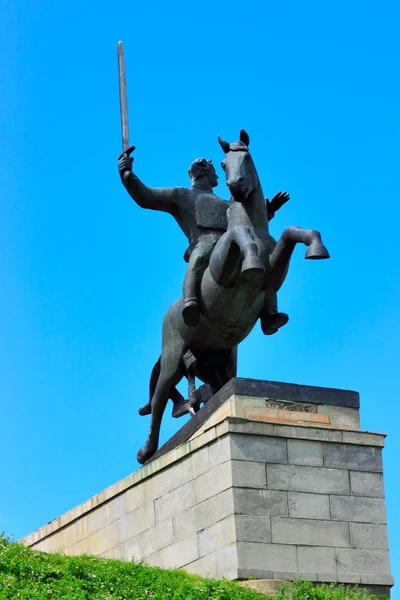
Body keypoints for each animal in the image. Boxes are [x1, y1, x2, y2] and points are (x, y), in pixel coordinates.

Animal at [136, 130, 330, 464]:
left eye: (247, 158)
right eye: (224, 163)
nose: (236, 186)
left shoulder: (275, 272)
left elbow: (292, 232)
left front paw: (315, 247)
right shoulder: (225, 266)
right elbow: (239, 238)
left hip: (219, 357)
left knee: (215, 387)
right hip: (174, 354)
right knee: (160, 397)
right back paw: (148, 450)